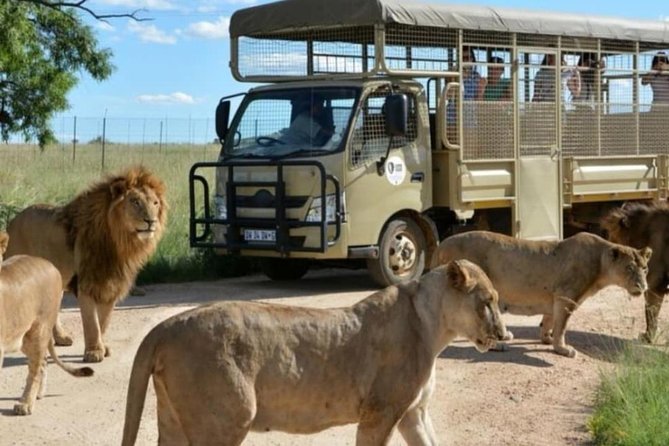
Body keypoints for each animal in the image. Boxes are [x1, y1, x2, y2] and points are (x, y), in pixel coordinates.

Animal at [0, 232, 93, 415]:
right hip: (26, 338)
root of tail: (49, 264)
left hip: (38, 331)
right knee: (42, 363)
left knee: (36, 369)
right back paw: (37, 395)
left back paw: (26, 403)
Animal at [5, 166, 167, 363]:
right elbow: (92, 322)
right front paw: (94, 352)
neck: (120, 243)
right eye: (135, 202)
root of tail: (12, 221)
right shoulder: (86, 284)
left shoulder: (111, 284)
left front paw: (103, 348)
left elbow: (104, 322)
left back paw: (60, 338)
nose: (151, 221)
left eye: (155, 203)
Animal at [121, 260, 507, 446]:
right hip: (227, 418)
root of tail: (165, 326)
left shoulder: (412, 413)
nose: (504, 333)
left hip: (173, 418)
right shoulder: (380, 413)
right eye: (487, 301)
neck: (433, 326)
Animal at [431, 230, 651, 357]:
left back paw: (506, 336)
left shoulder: (554, 297)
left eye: (645, 268)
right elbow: (562, 326)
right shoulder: (566, 297)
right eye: (630, 268)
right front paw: (562, 349)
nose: (643, 286)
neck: (600, 263)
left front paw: (546, 339)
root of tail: (441, 245)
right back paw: (498, 345)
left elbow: (549, 320)